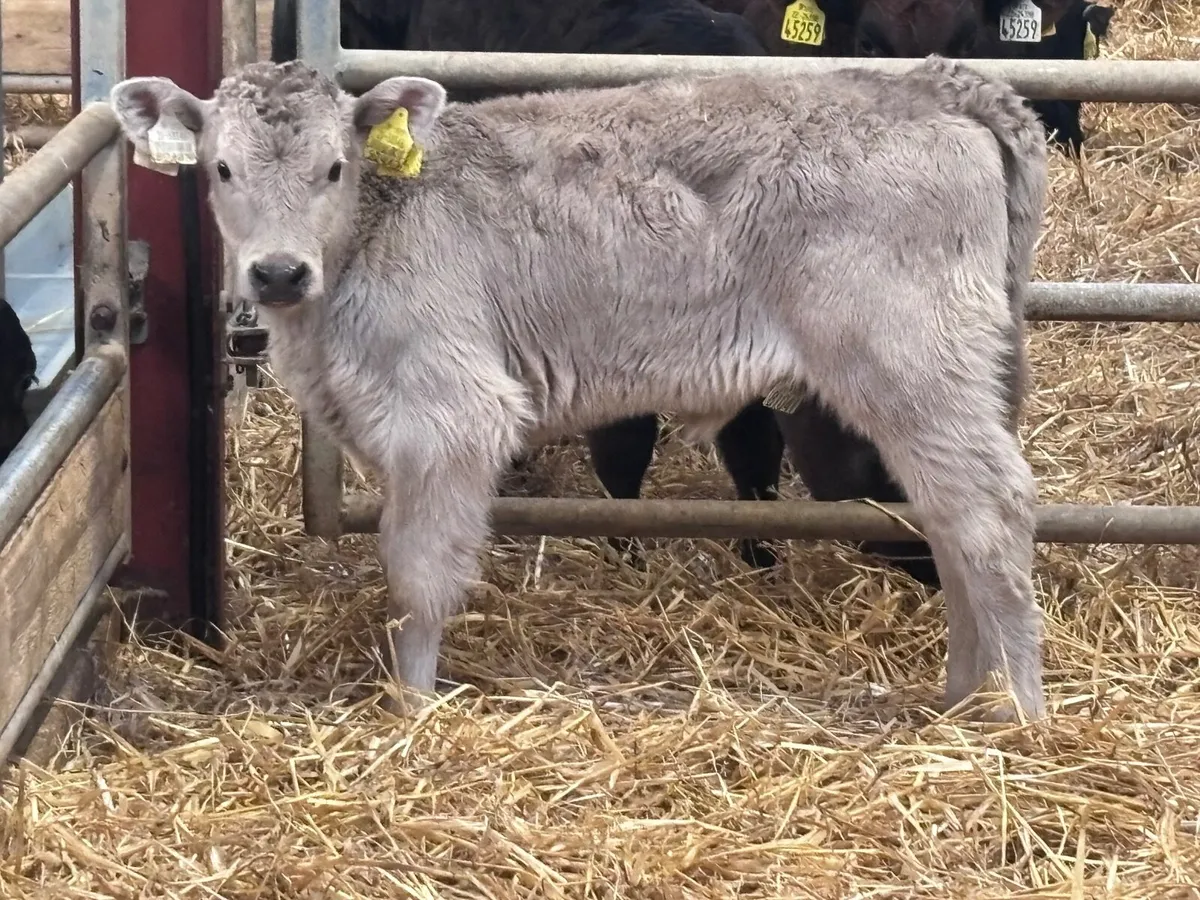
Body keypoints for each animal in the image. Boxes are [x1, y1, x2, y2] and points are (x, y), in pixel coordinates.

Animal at [110, 56, 1050, 720]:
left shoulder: (456, 413)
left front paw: (410, 712)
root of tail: (933, 82)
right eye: (221, 169)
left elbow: (416, 576)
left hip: (910, 364)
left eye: (335, 168)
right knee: (948, 516)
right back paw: (960, 697)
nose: (275, 272)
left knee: (991, 512)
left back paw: (1017, 714)